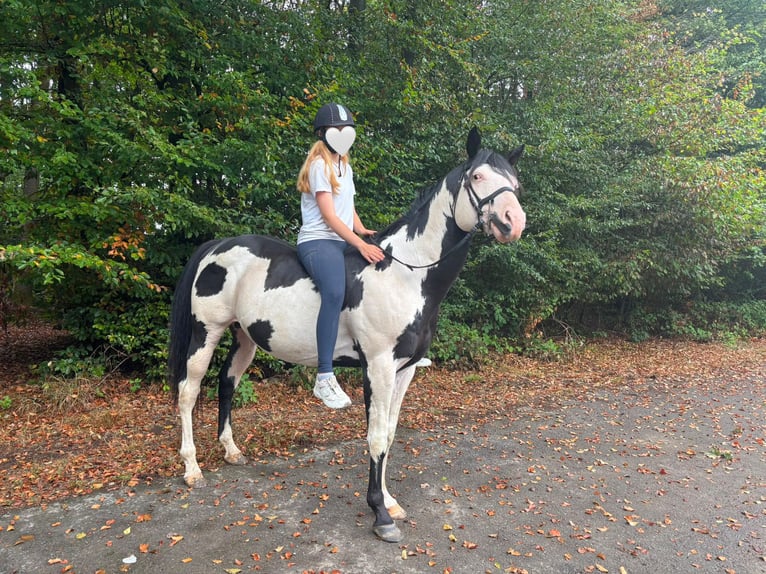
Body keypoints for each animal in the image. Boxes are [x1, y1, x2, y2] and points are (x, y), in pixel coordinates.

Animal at [167, 127, 526, 543]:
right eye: (478, 176)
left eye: (514, 182)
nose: (513, 221)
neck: (404, 273)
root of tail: (217, 246)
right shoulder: (378, 366)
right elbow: (375, 437)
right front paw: (380, 515)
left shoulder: (405, 370)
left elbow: (389, 433)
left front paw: (389, 502)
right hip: (205, 333)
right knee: (189, 392)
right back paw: (192, 468)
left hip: (245, 338)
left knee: (227, 383)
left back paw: (231, 450)